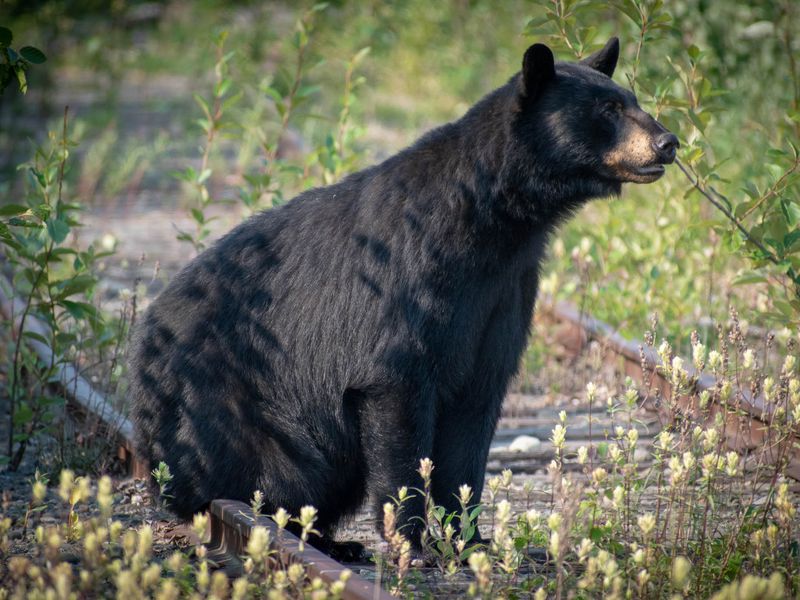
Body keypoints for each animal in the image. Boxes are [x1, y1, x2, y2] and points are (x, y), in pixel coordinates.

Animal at [130, 38, 676, 548]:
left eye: (632, 99)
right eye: (609, 109)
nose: (667, 141)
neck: (493, 225)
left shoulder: (503, 293)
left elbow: (475, 411)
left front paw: (468, 538)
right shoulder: (411, 285)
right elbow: (397, 394)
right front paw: (411, 541)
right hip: (226, 403)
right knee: (269, 478)